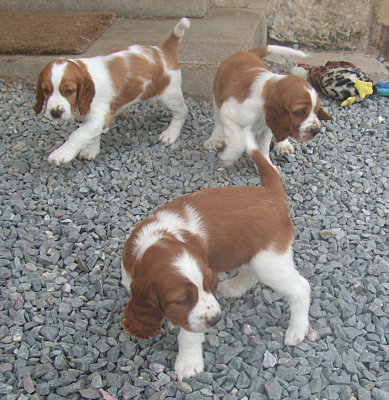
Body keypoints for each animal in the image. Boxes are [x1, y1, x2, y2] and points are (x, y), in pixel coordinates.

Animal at [34, 18, 189, 165]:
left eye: (69, 91)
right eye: (46, 90)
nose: (55, 113)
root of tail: (164, 50)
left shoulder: (101, 115)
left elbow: (78, 134)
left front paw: (61, 154)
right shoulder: (93, 117)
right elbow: (90, 133)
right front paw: (91, 151)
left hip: (170, 95)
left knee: (182, 111)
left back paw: (171, 134)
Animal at [119, 133, 310, 380]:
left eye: (209, 285)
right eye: (182, 300)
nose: (217, 319)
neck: (155, 240)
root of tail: (269, 193)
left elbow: (189, 334)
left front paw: (188, 363)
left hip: (270, 262)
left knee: (301, 288)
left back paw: (297, 330)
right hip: (255, 254)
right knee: (250, 274)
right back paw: (233, 288)